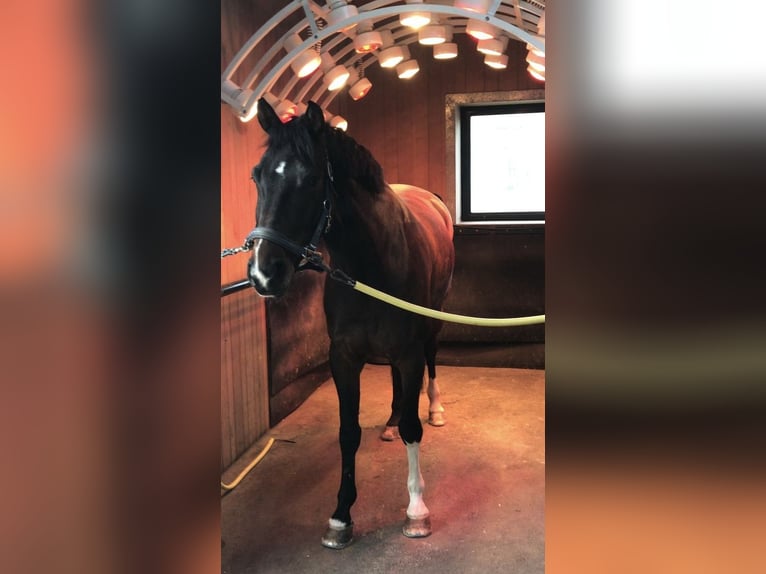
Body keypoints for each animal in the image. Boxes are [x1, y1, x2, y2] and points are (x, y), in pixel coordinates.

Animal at [246, 98, 455, 548]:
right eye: (257, 176)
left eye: (309, 179)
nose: (263, 273)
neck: (370, 265)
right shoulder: (343, 357)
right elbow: (348, 432)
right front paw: (341, 516)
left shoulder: (409, 352)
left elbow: (414, 427)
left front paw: (416, 511)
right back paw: (390, 423)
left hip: (432, 326)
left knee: (431, 365)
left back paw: (435, 408)